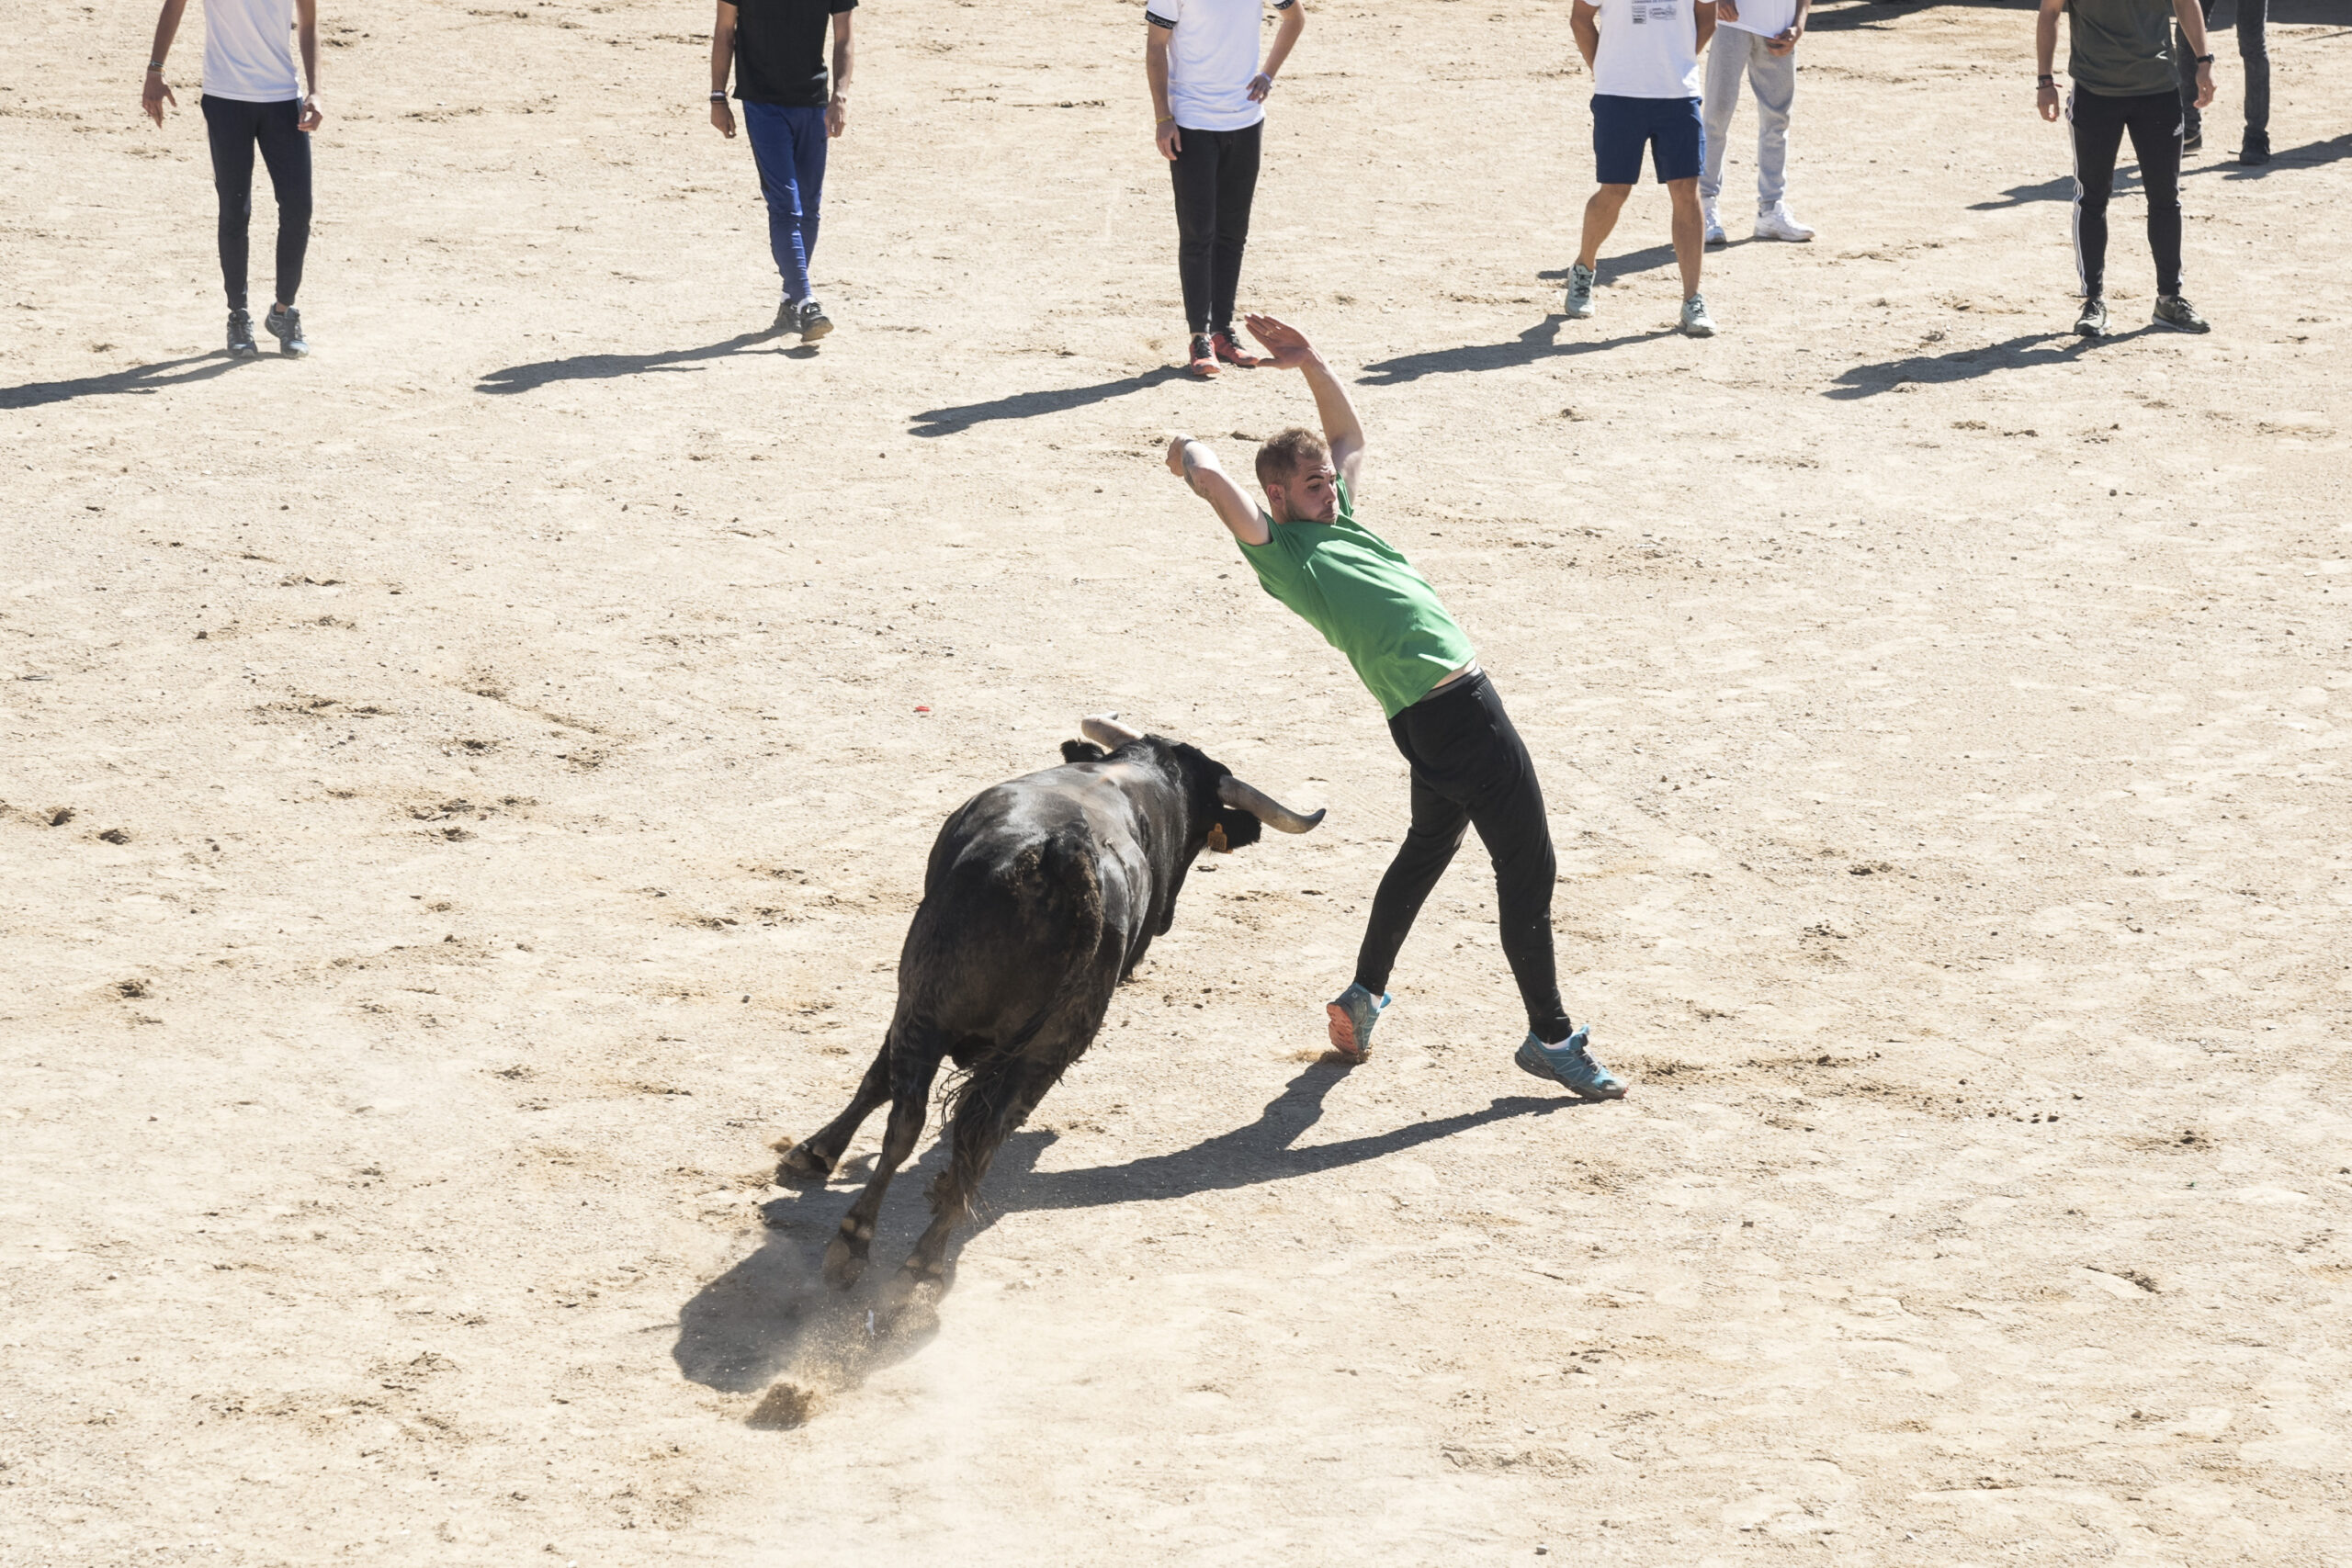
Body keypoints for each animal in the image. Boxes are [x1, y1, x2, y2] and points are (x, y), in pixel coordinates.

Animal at [771, 719, 1326, 1306]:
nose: (1165, 919)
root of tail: (1064, 852)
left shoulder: (912, 995)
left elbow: (878, 1077)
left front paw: (815, 1152)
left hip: (930, 1002)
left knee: (913, 1119)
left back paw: (862, 1243)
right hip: (1044, 1042)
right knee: (978, 1135)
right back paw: (920, 1264)